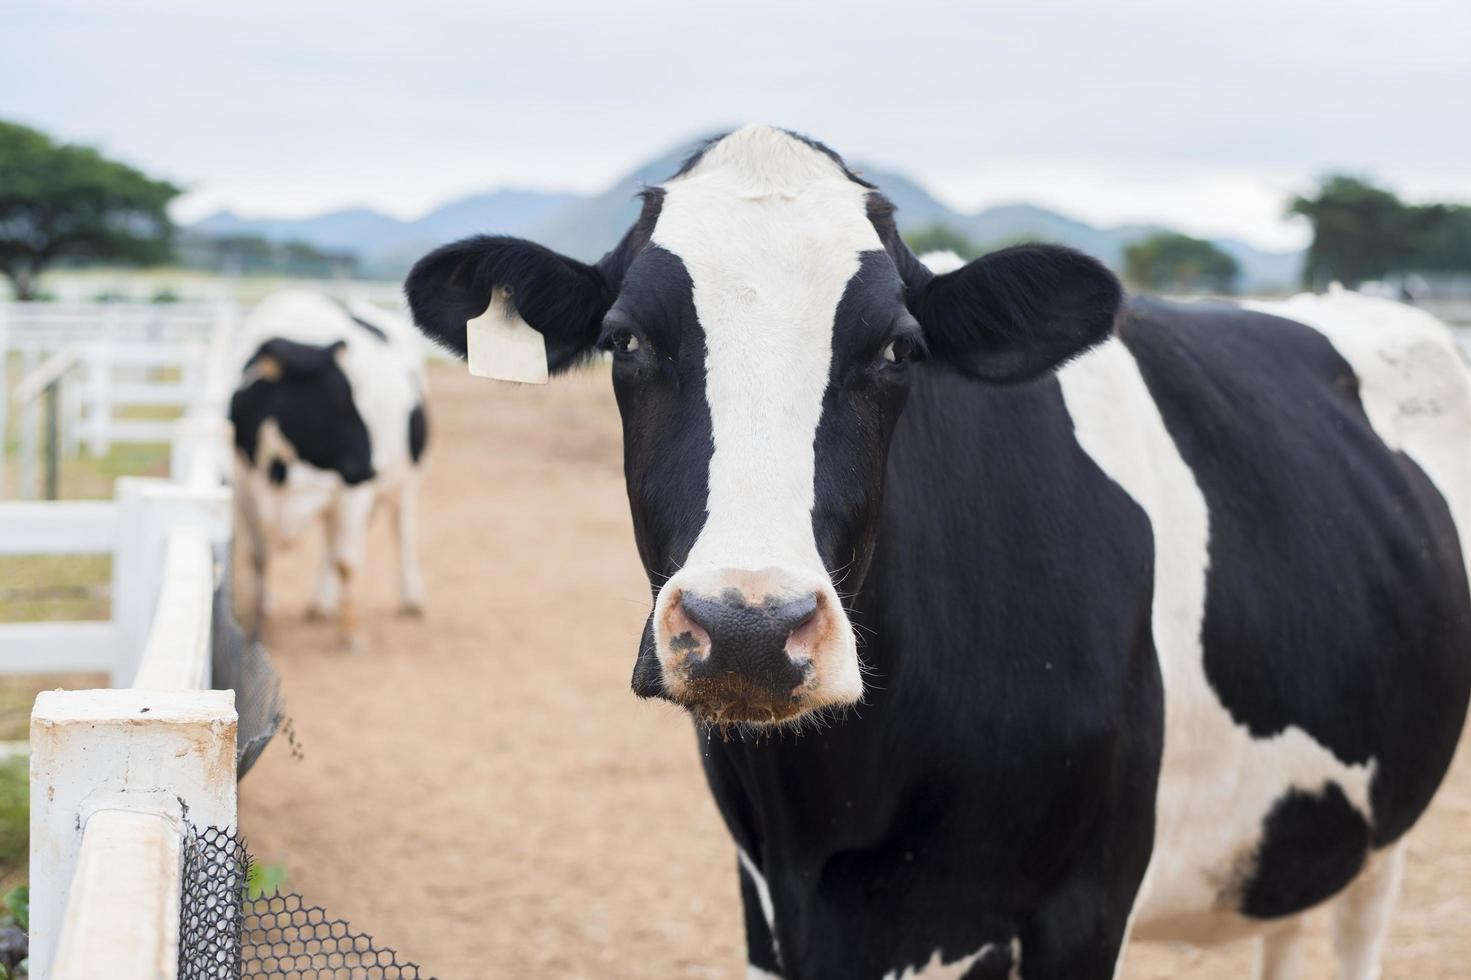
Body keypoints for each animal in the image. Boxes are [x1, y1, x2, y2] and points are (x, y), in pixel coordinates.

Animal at [226, 286, 429, 644]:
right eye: (335, 402)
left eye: (357, 397)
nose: (373, 466)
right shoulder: (246, 492)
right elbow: (260, 560)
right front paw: (261, 628)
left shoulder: (352, 493)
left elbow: (347, 562)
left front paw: (351, 635)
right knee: (328, 544)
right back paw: (321, 602)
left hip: (408, 477)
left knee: (401, 529)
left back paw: (411, 598)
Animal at [403, 125, 1471, 971]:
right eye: (625, 341)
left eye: (897, 349)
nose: (749, 630)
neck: (845, 805)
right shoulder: (770, 903)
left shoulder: (1084, 901)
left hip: (1383, 833)